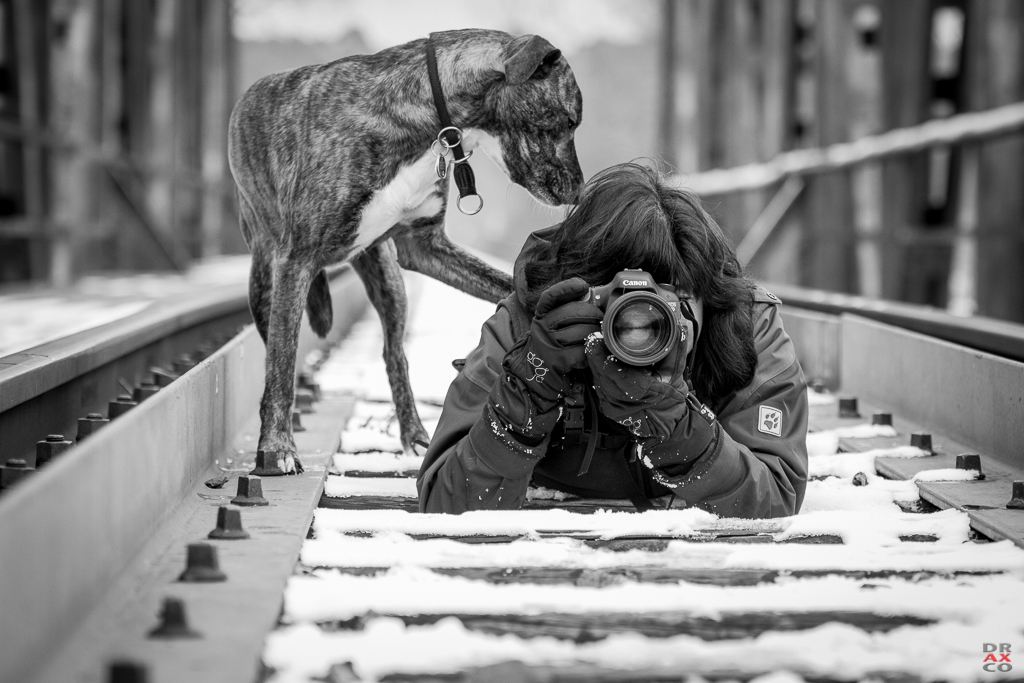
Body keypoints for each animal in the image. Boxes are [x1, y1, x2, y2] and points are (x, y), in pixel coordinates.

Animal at [229, 29, 589, 473]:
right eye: (569, 121)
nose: (579, 191)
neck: (425, 116)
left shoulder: (425, 247)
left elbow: (506, 284)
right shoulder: (296, 260)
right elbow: (281, 362)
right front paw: (277, 447)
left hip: (387, 278)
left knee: (394, 354)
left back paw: (415, 435)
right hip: (265, 277)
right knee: (277, 348)